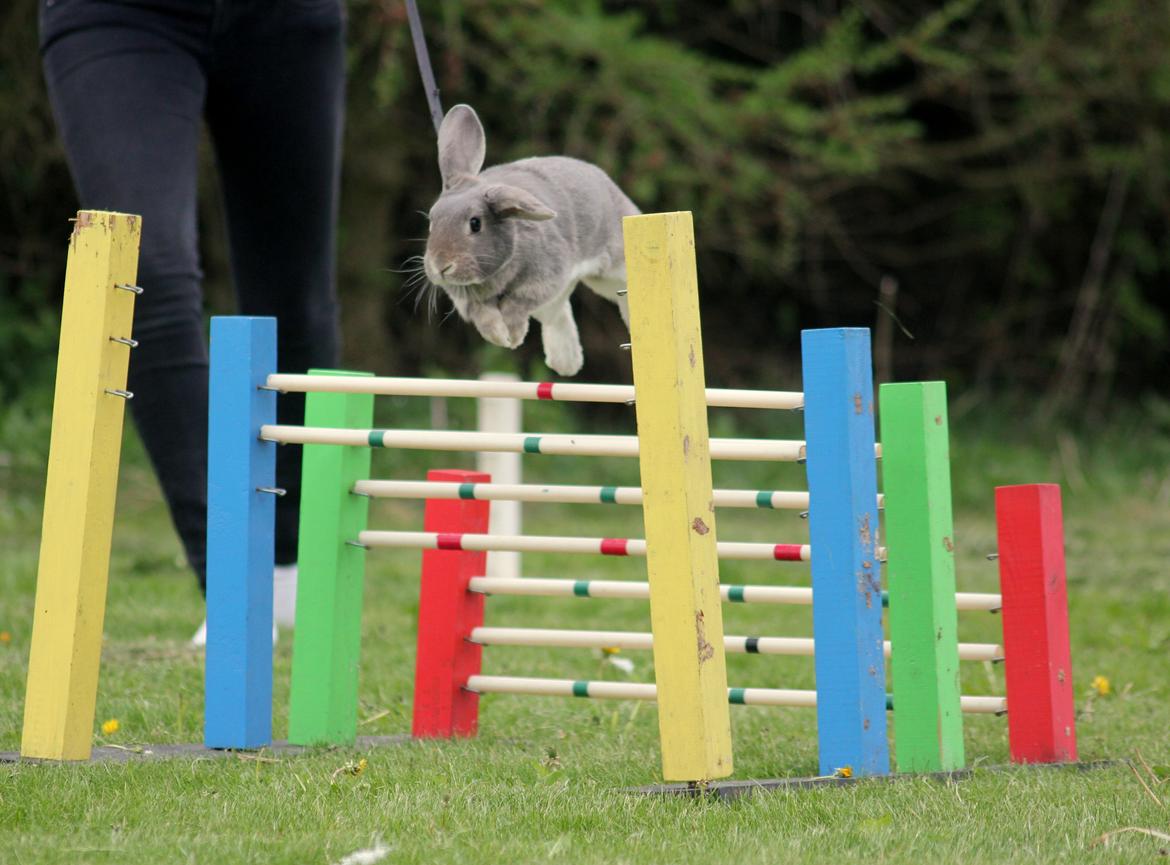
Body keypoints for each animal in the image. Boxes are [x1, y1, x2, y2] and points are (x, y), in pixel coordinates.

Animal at [423, 104, 641, 374]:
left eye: (475, 224)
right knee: (559, 314)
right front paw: (501, 338)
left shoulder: (542, 280)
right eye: (431, 222)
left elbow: (515, 306)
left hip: (611, 271)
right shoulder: (472, 303)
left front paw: (513, 337)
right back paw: (566, 364)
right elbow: (486, 318)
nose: (441, 266)